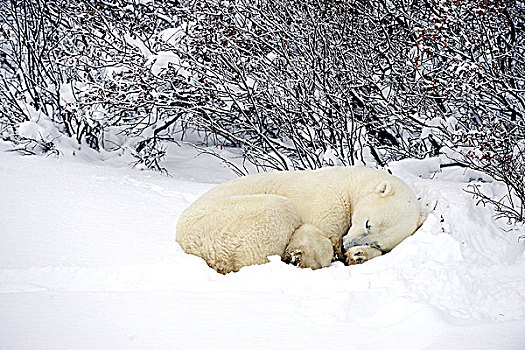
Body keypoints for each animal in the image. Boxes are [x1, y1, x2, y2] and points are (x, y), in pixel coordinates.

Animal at [174, 167, 424, 274]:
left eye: (377, 242)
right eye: (368, 223)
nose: (346, 246)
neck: (352, 183)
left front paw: (358, 255)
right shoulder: (328, 200)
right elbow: (312, 232)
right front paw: (310, 254)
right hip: (225, 222)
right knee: (278, 211)